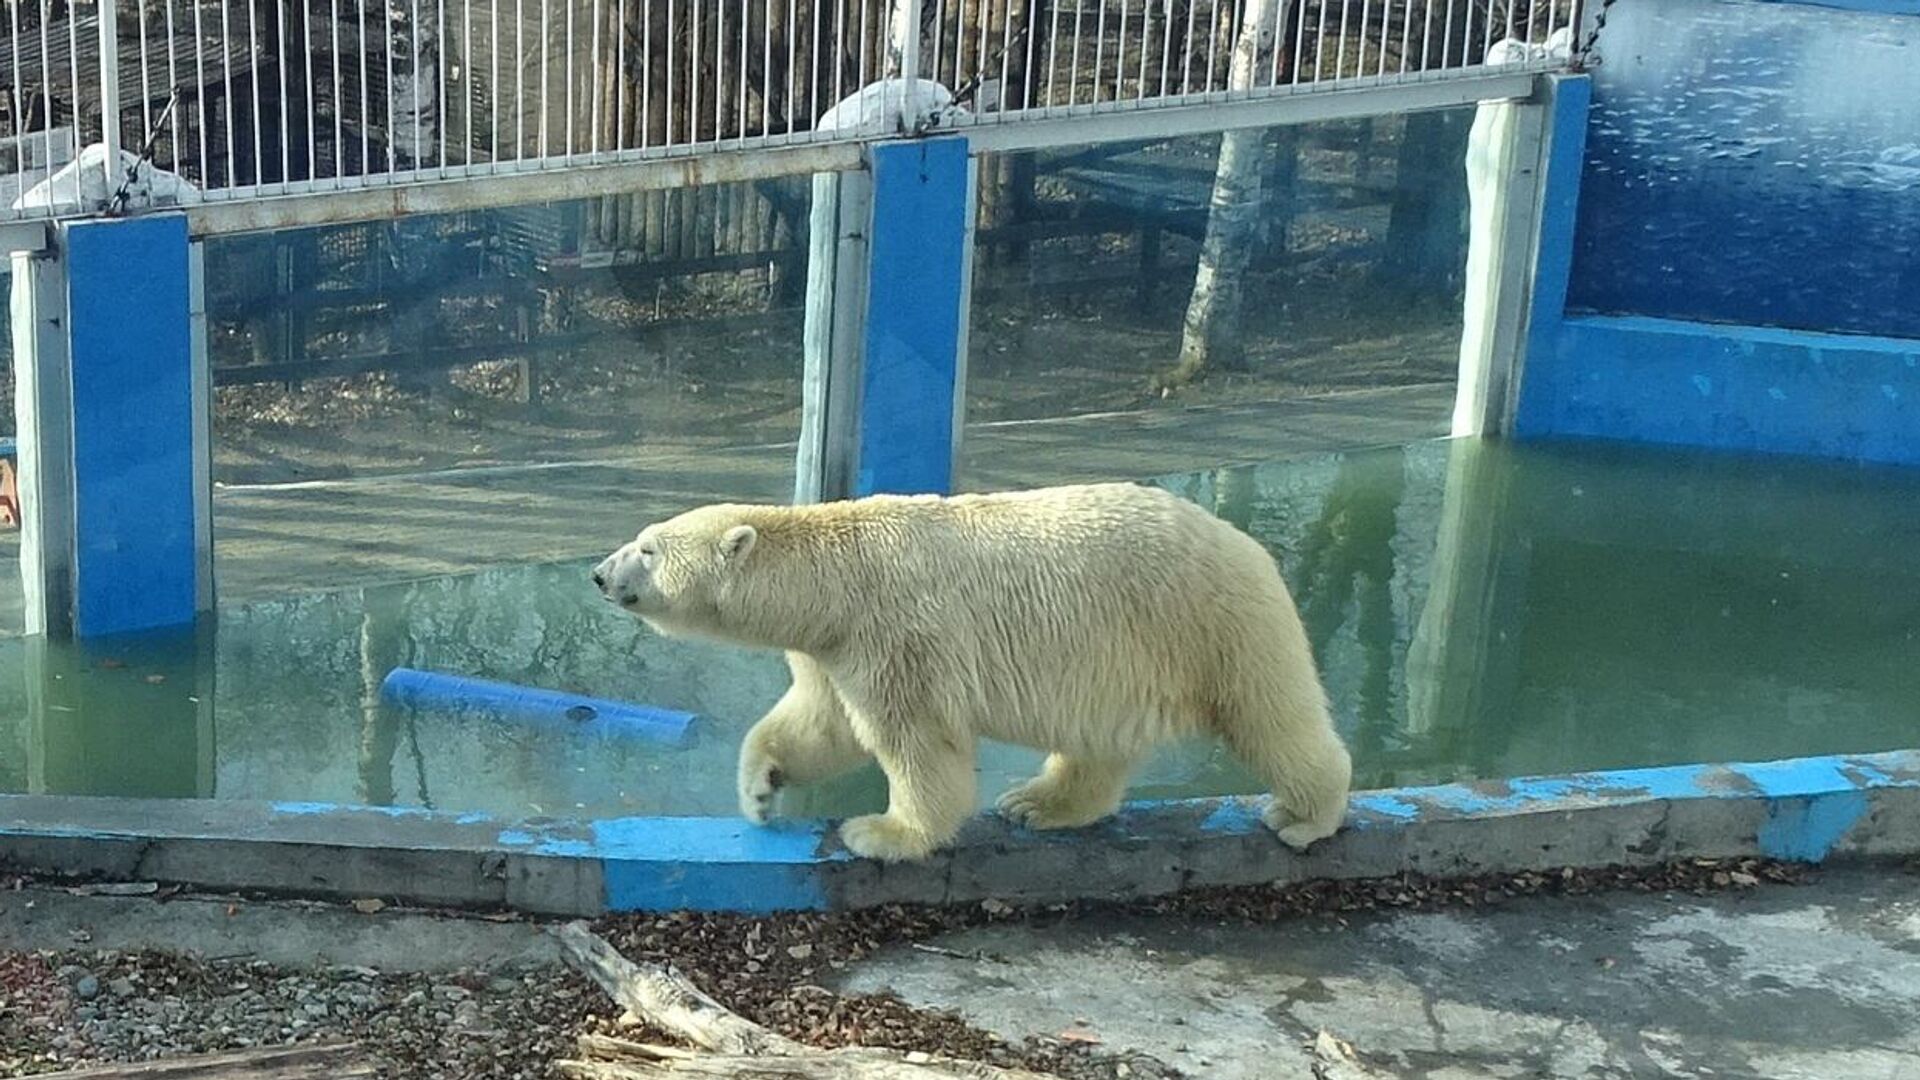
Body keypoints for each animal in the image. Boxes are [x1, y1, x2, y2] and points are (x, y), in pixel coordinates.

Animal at [591, 484, 1359, 860]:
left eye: (649, 549)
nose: (599, 573)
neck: (836, 579)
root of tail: (1247, 544)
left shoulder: (897, 633)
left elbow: (916, 740)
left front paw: (882, 835)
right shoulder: (833, 645)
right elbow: (820, 724)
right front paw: (760, 790)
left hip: (1211, 625)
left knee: (1270, 715)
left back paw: (1302, 817)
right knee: (1097, 745)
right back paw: (1037, 803)